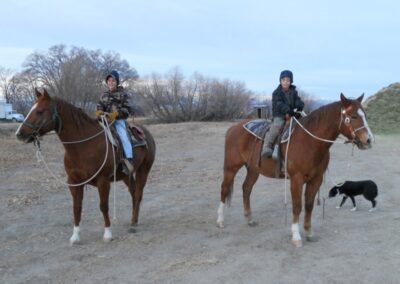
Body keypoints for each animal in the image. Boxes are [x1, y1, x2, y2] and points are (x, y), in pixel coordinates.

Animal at [14, 89, 155, 244]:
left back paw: (134, 223)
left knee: (138, 194)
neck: (84, 146)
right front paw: (75, 236)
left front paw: (108, 234)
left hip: (144, 170)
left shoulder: (103, 181)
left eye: (40, 111)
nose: (19, 134)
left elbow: (103, 206)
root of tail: (145, 132)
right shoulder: (74, 182)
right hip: (125, 175)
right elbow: (77, 207)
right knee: (133, 193)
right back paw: (133, 220)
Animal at [217, 93, 374, 246]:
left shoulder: (316, 179)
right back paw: (220, 221)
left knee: (246, 188)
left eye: (365, 115)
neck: (310, 142)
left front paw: (309, 233)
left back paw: (249, 219)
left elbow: (309, 205)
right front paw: (296, 236)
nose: (369, 140)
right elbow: (297, 206)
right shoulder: (296, 179)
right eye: (353, 116)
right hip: (231, 167)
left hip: (254, 169)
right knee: (224, 189)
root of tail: (233, 128)